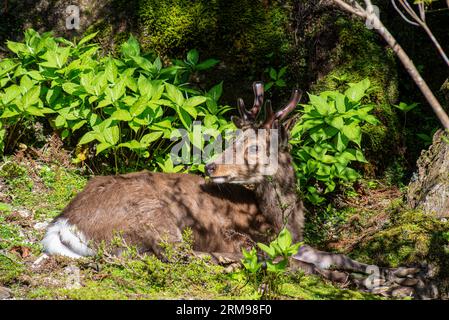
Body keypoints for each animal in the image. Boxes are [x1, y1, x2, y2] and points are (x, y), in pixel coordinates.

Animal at [41, 82, 420, 298]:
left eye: (253, 146)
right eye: (233, 138)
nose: (211, 167)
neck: (277, 221)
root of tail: (62, 223)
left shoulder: (295, 241)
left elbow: (340, 255)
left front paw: (401, 273)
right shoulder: (239, 235)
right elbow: (311, 265)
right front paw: (382, 285)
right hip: (153, 218)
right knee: (178, 257)